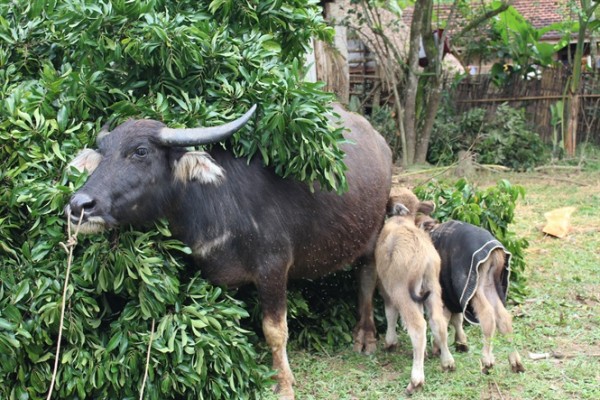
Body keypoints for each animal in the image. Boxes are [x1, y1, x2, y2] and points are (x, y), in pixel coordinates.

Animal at [65, 102, 394, 396]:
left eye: (141, 151)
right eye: (103, 155)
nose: (79, 205)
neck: (216, 203)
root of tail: (382, 144)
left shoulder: (273, 268)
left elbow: (275, 330)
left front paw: (284, 382)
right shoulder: (221, 278)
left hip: (374, 231)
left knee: (367, 278)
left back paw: (366, 338)